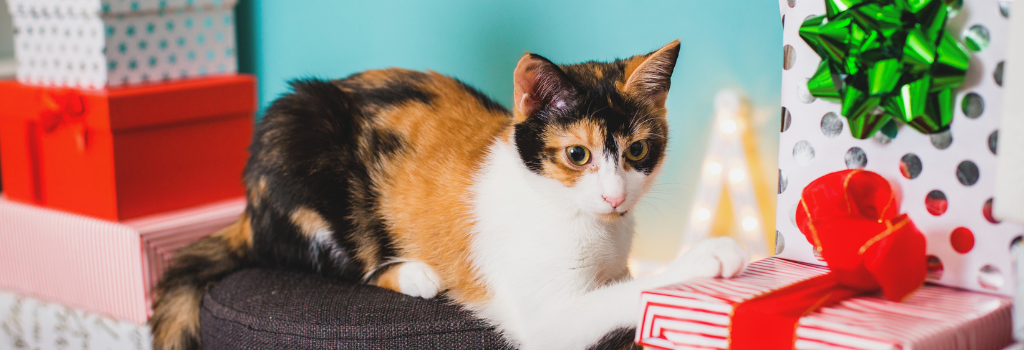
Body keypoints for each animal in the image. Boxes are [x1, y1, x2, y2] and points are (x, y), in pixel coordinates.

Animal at [149, 39, 745, 347]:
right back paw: (413, 273)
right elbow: (609, 301)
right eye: (578, 155)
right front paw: (708, 257)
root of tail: (249, 209)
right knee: (326, 258)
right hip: (298, 138)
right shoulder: (545, 319)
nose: (615, 198)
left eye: (639, 150)